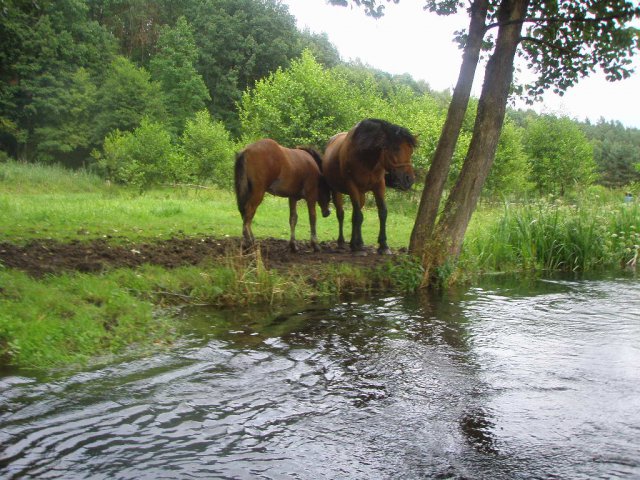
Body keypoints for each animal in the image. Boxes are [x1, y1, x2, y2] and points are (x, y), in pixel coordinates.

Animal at [322, 118, 418, 255]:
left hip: (361, 194)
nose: (409, 179)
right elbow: (357, 216)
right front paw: (356, 246)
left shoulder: (379, 186)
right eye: (396, 148)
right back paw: (342, 242)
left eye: (411, 151)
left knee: (357, 215)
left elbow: (382, 213)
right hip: (337, 191)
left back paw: (358, 242)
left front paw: (383, 245)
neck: (365, 158)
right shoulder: (352, 186)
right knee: (341, 214)